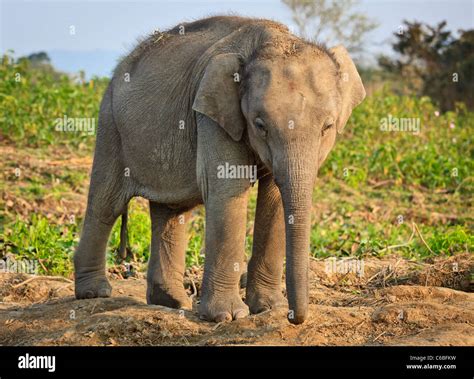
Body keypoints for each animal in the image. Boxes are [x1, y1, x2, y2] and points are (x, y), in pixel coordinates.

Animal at [75, 14, 366, 324]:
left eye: (327, 126)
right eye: (260, 125)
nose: (293, 317)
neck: (272, 40)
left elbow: (274, 197)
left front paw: (269, 307)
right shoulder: (212, 113)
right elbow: (228, 187)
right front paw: (228, 316)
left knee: (171, 210)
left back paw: (172, 302)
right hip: (110, 124)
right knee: (106, 204)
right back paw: (94, 293)